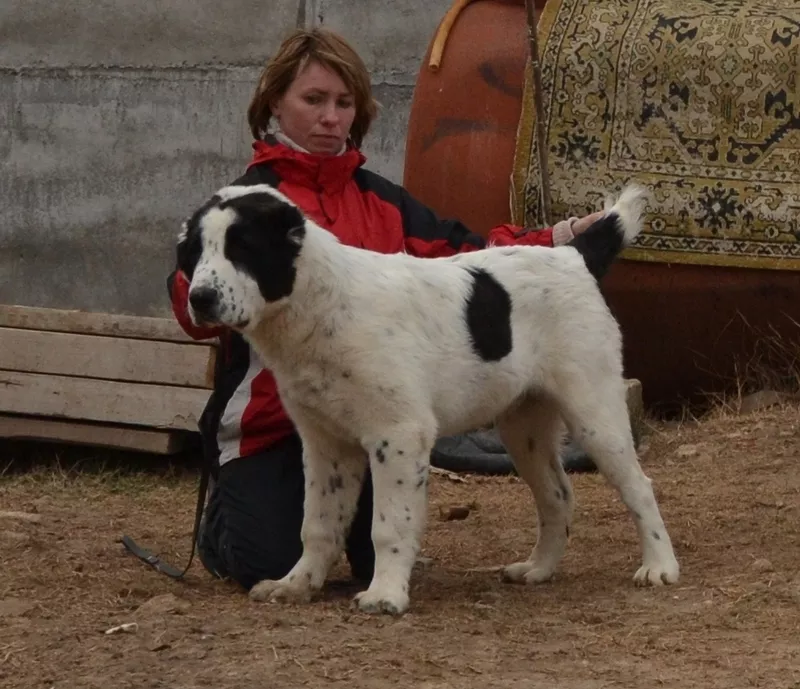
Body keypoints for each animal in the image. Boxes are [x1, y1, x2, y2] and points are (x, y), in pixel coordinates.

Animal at [178, 181, 680, 612]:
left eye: (244, 248)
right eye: (196, 253)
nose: (199, 298)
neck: (324, 303)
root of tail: (573, 255)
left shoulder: (399, 434)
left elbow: (389, 524)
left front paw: (385, 594)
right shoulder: (326, 444)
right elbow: (318, 523)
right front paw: (298, 584)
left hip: (594, 410)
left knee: (640, 486)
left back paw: (660, 566)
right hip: (524, 428)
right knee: (557, 494)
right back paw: (539, 569)